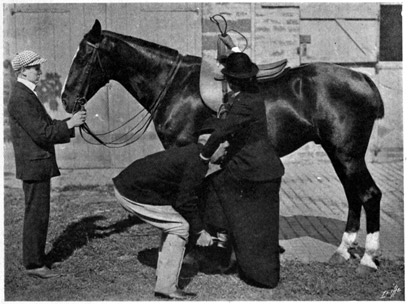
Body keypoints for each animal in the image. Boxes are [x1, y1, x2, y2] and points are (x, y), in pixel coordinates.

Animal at [60, 19, 382, 276]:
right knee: (353, 195)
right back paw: (343, 251)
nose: (66, 100)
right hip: (339, 154)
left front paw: (188, 253)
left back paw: (368, 258)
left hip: (347, 154)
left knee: (369, 194)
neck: (176, 84)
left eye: (85, 56)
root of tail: (363, 79)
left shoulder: (182, 146)